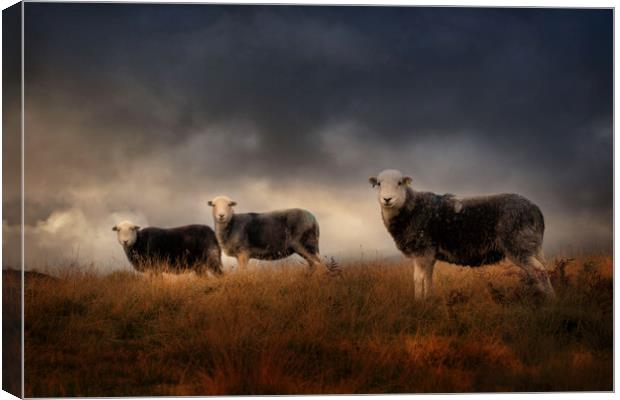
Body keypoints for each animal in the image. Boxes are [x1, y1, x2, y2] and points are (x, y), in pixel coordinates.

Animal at [368, 169, 556, 300]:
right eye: (378, 184)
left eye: (400, 183)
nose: (387, 199)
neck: (411, 209)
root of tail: (536, 210)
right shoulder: (429, 254)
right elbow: (428, 277)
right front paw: (429, 299)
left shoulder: (422, 250)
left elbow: (418, 278)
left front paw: (418, 302)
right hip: (532, 245)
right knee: (541, 269)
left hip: (517, 244)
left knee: (539, 271)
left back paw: (549, 301)